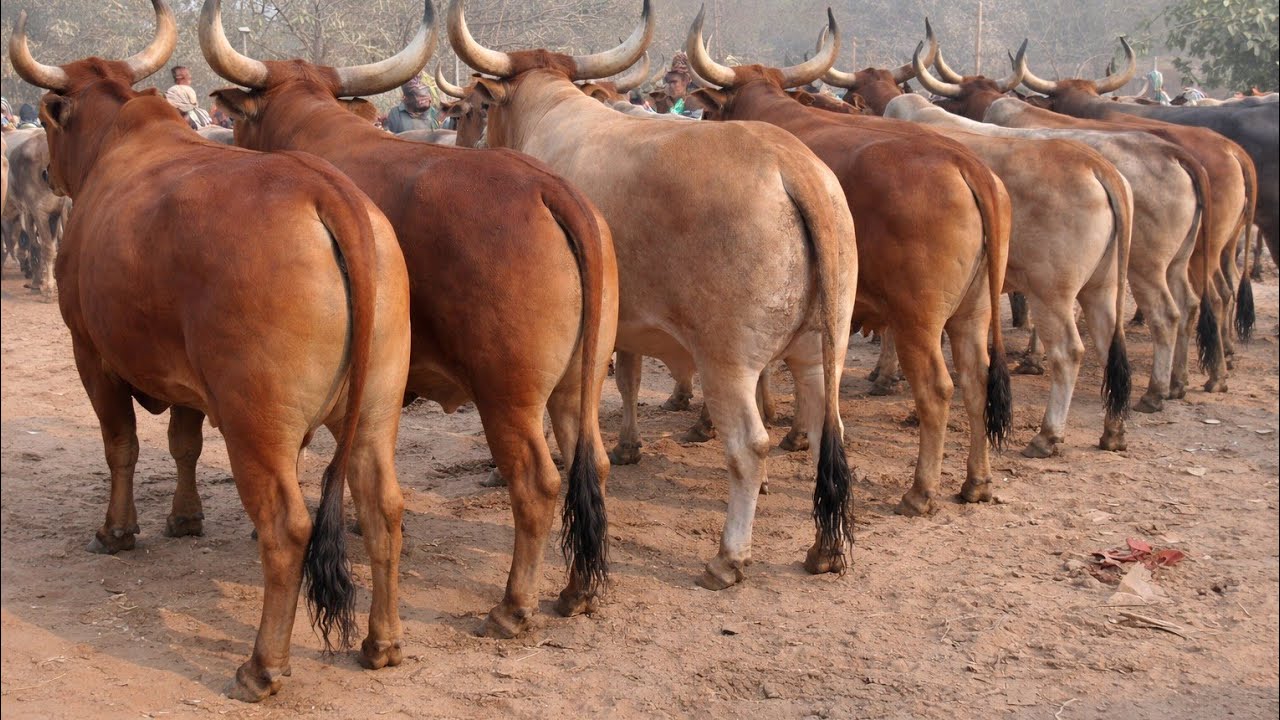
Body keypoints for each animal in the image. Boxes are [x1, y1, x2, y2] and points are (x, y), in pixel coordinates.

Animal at [10, 0, 412, 702]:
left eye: (51, 116)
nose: (44, 172)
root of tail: (328, 194)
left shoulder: (92, 355)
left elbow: (122, 446)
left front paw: (117, 530)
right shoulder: (186, 380)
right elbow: (184, 444)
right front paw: (185, 518)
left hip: (257, 424)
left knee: (287, 527)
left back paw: (262, 666)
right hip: (375, 410)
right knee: (382, 506)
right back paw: (380, 644)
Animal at [200, 0, 617, 638]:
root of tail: (551, 190)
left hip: (508, 399)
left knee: (539, 484)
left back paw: (512, 607)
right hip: (578, 387)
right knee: (587, 466)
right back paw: (575, 591)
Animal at [447, 0, 860, 589]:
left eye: (477, 110)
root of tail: (790, 163)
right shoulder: (626, 326)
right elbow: (628, 378)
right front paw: (626, 445)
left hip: (727, 362)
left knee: (748, 447)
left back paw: (728, 557)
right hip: (821, 347)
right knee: (832, 428)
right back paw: (824, 549)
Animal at [682, 10, 1014, 516]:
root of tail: (964, 163)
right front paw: (798, 433)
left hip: (918, 321)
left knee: (938, 391)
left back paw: (920, 491)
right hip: (972, 313)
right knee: (976, 381)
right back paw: (976, 481)